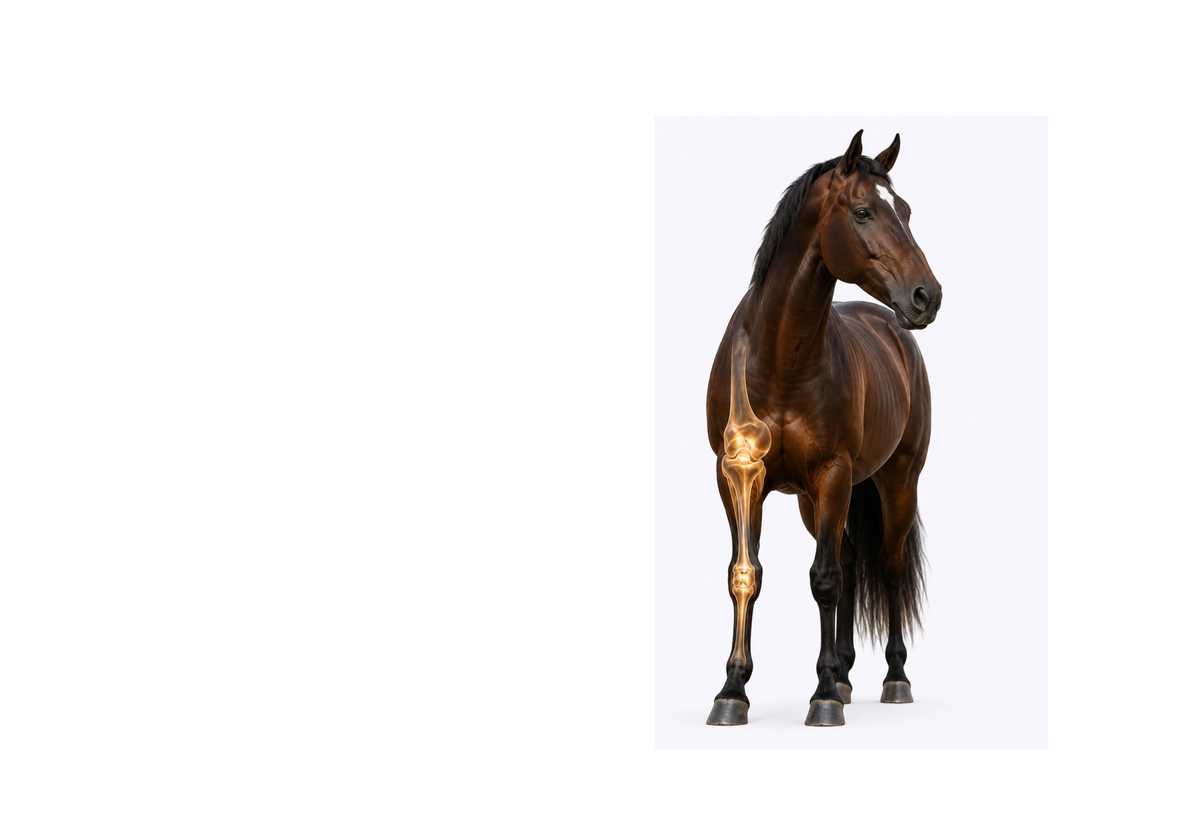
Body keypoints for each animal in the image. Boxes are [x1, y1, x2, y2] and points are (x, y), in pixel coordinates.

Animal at [704, 130, 943, 726]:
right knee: (852, 560)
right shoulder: (738, 475)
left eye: (905, 210)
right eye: (863, 212)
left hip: (894, 481)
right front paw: (732, 691)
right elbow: (745, 573)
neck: (778, 360)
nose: (927, 296)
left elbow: (824, 580)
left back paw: (892, 678)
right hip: (817, 501)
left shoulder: (832, 472)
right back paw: (846, 675)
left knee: (887, 566)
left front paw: (822, 697)